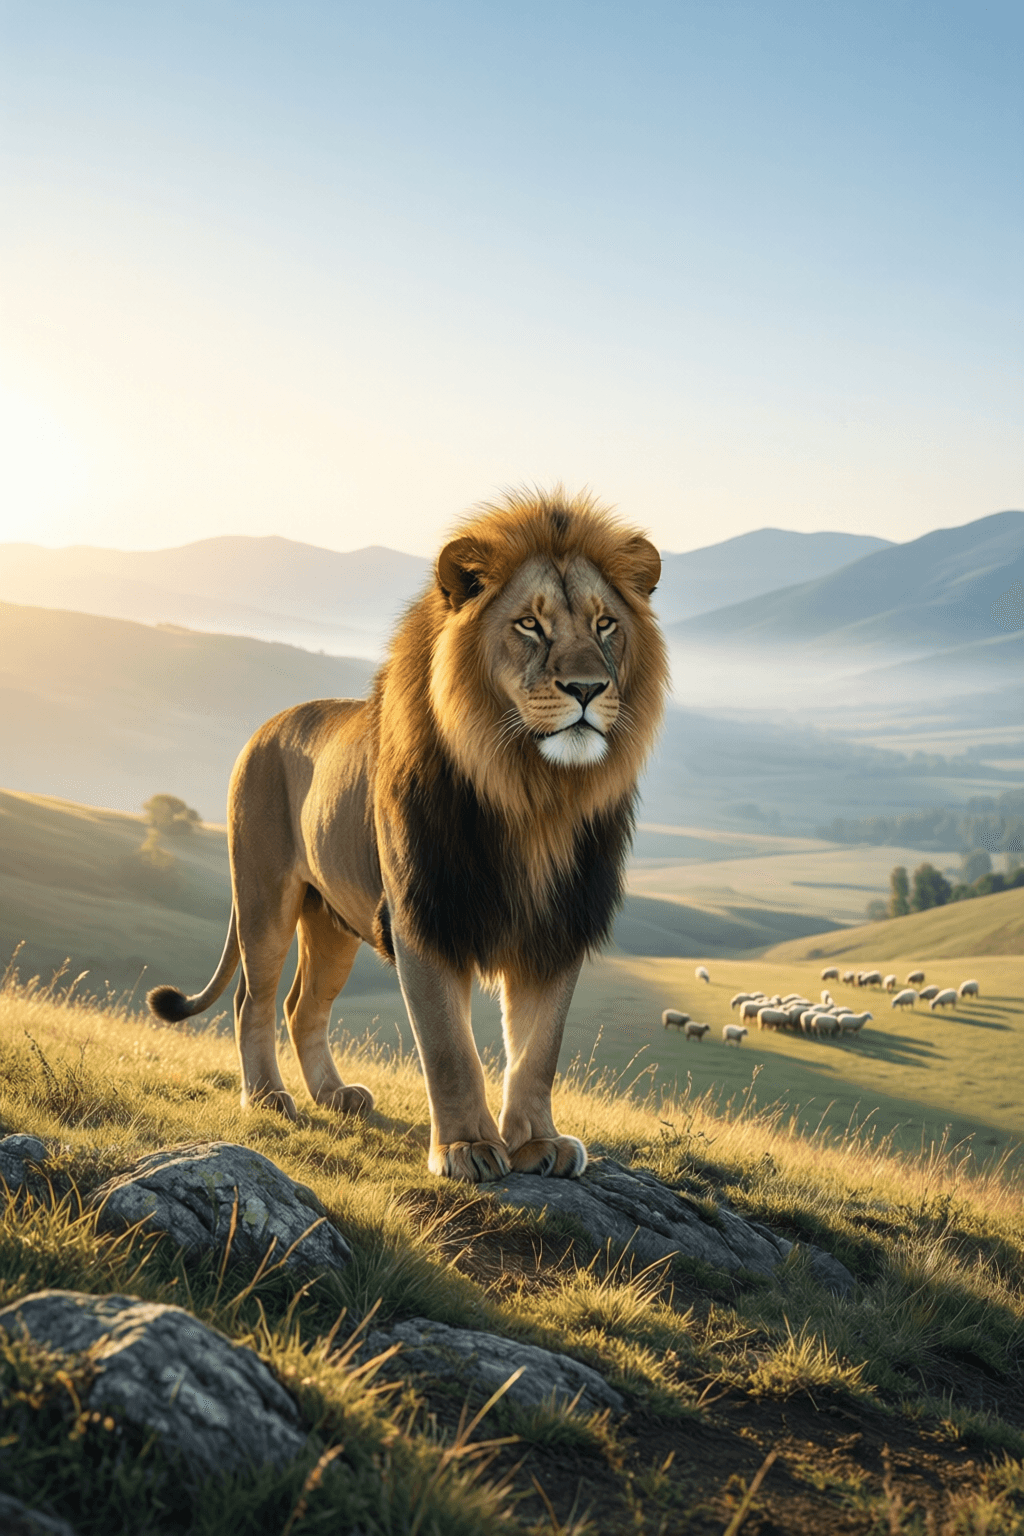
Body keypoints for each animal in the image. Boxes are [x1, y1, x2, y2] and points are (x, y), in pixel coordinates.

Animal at [148, 488, 668, 1183]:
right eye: (529, 625)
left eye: (605, 623)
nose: (587, 688)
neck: (533, 794)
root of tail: (266, 725)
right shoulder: (425, 915)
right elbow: (449, 1047)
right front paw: (466, 1147)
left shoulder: (556, 926)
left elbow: (539, 1049)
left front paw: (538, 1142)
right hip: (263, 896)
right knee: (252, 1001)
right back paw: (268, 1098)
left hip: (332, 919)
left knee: (302, 1006)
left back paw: (335, 1095)